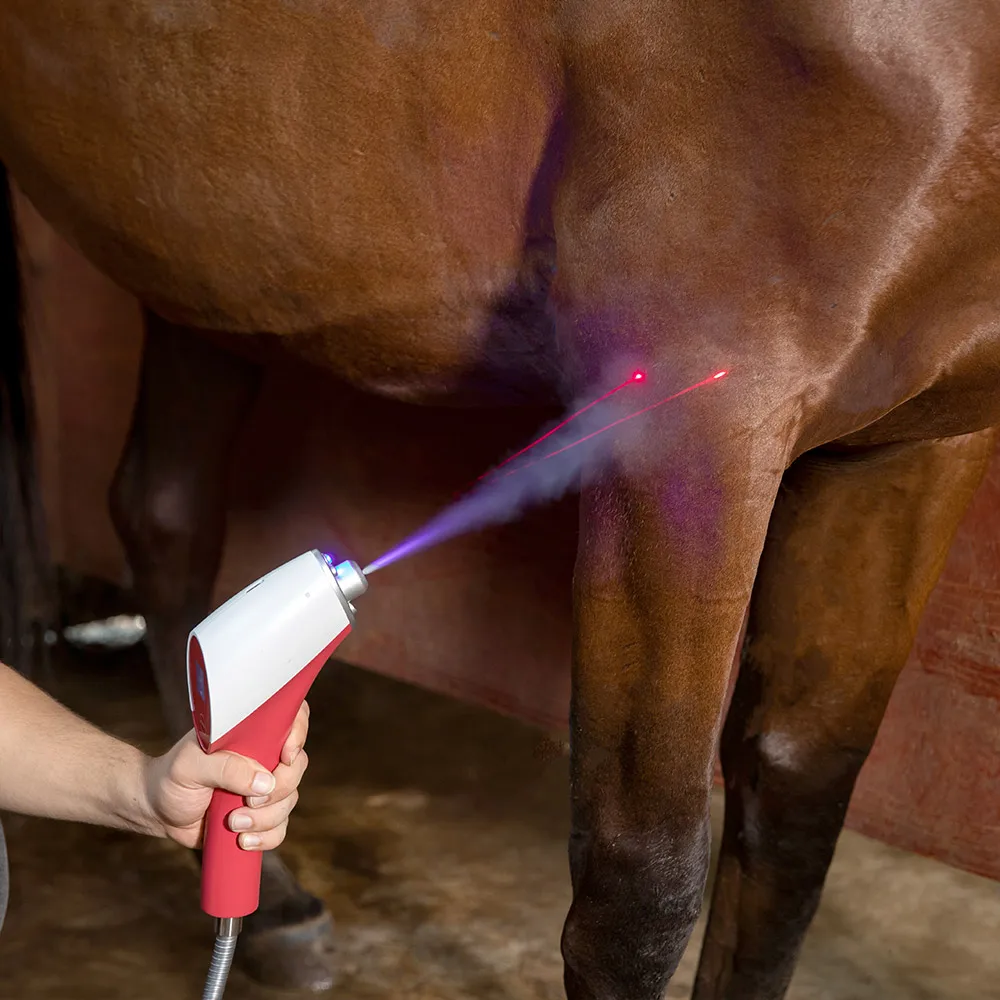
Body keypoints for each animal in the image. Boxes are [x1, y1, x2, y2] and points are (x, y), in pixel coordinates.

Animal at [3, 2, 1000, 997]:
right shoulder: (696, 411)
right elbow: (639, 888)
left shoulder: (914, 442)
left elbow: (791, 818)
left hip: (206, 266)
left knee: (162, 513)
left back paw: (269, 902)